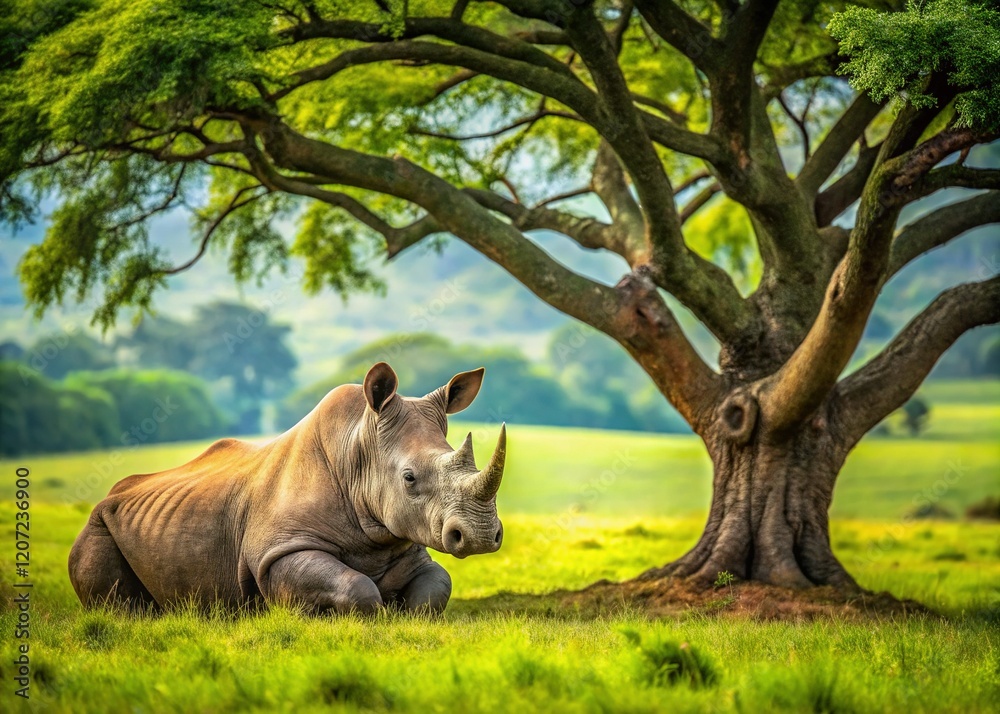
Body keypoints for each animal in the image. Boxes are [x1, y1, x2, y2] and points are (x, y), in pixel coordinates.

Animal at [68, 362, 506, 615]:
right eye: (410, 478)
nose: (481, 536)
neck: (356, 454)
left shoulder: (404, 536)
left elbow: (435, 590)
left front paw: (404, 611)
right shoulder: (278, 551)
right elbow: (357, 587)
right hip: (99, 520)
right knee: (112, 602)